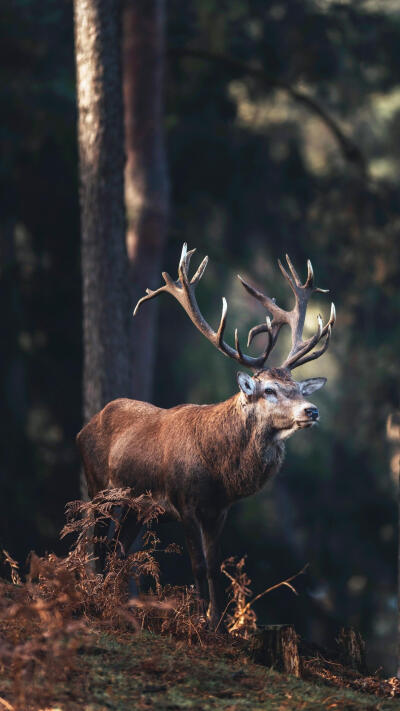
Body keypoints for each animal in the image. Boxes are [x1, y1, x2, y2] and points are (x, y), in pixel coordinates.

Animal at [77, 245, 334, 628]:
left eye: (299, 388)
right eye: (269, 390)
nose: (312, 411)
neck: (218, 470)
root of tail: (83, 428)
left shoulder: (219, 509)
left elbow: (215, 567)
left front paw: (220, 625)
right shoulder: (182, 501)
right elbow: (197, 565)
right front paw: (199, 623)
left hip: (137, 506)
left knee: (119, 549)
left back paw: (117, 605)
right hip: (98, 487)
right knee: (98, 543)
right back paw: (96, 599)